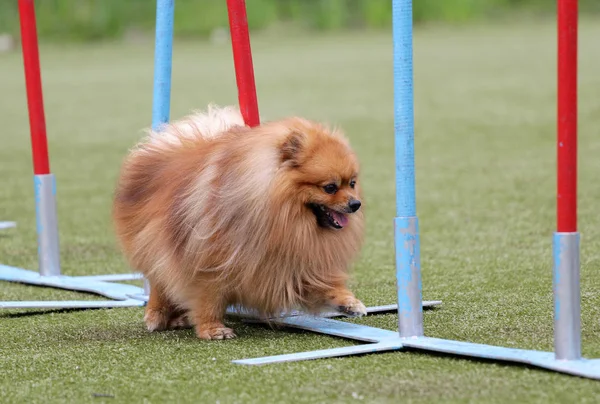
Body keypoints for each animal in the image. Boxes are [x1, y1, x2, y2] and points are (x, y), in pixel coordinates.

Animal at [112, 105, 366, 340]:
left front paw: (349, 302)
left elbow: (324, 284)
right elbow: (208, 299)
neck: (283, 218)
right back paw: (157, 314)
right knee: (158, 280)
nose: (356, 204)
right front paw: (212, 329)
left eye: (352, 183)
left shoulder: (293, 261)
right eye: (330, 187)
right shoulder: (208, 263)